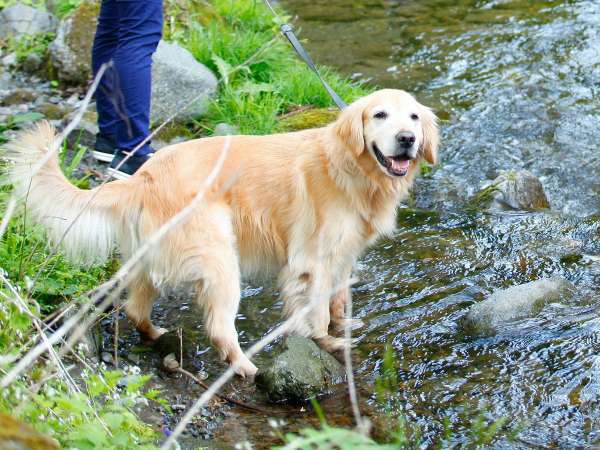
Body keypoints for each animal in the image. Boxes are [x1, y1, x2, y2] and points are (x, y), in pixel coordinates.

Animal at [3, 88, 436, 376]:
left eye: (413, 118)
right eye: (379, 115)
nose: (407, 139)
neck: (349, 168)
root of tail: (142, 178)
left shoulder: (343, 257)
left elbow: (339, 301)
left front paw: (343, 325)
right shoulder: (311, 260)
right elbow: (313, 311)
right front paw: (327, 342)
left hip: (149, 261)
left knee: (135, 307)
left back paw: (156, 333)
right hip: (221, 260)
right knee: (219, 328)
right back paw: (246, 366)